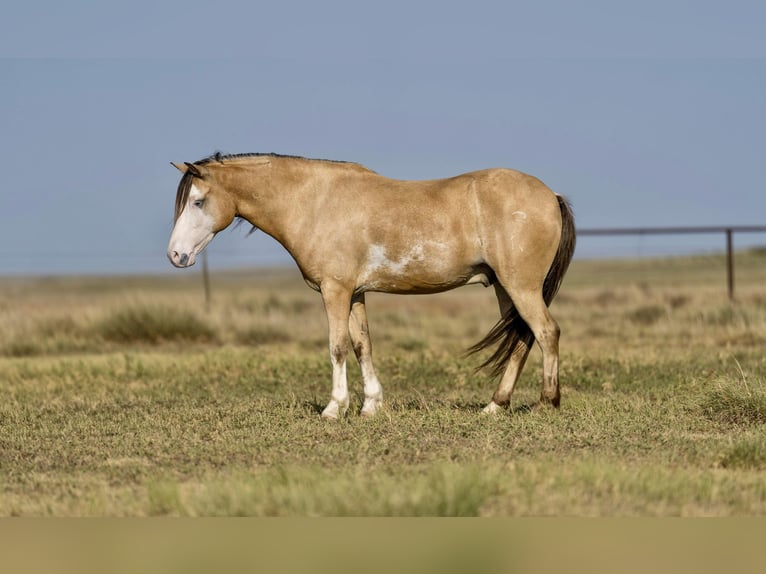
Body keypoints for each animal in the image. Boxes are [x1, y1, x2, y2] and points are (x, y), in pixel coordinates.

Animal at [167, 152, 575, 418]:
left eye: (198, 202)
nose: (175, 255)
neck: (314, 203)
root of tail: (550, 195)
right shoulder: (356, 293)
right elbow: (363, 346)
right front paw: (371, 405)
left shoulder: (335, 290)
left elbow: (337, 347)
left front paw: (334, 408)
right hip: (506, 288)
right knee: (523, 338)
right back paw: (495, 405)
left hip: (520, 287)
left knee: (546, 332)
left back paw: (546, 402)